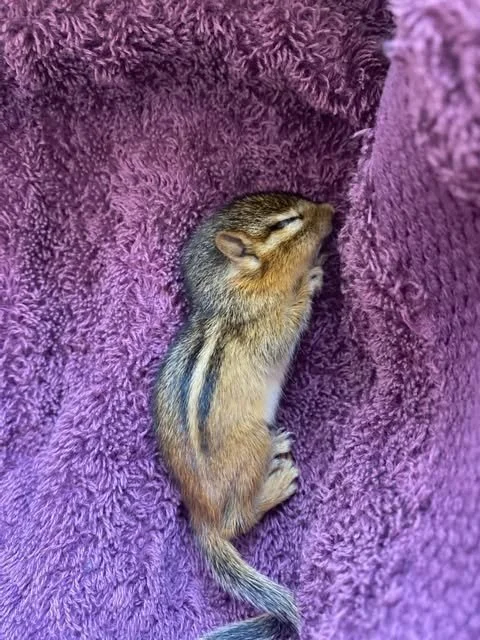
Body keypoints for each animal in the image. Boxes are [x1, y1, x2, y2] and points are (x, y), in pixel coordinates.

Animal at [154, 192, 334, 640]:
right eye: (288, 222)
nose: (332, 210)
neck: (230, 296)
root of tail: (201, 514)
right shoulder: (267, 328)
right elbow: (289, 319)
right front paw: (310, 279)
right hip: (251, 443)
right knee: (237, 520)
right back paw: (277, 482)